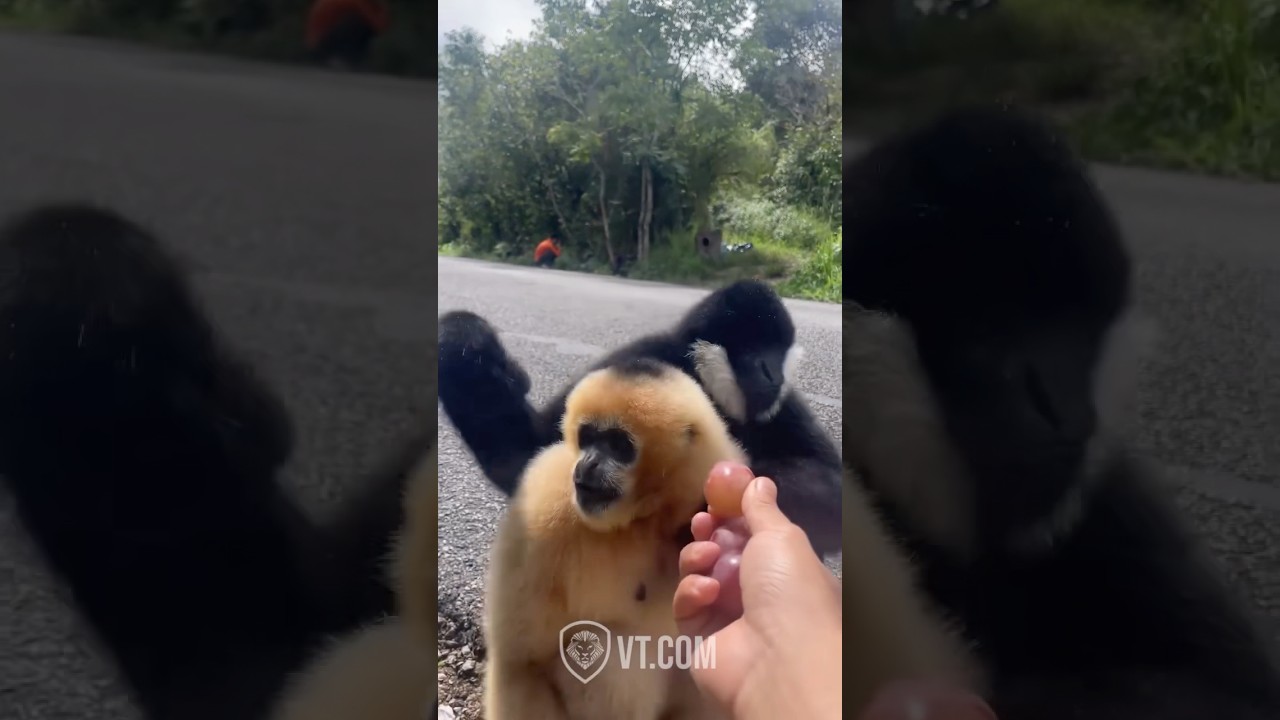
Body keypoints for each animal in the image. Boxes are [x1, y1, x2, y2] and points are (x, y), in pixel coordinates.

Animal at [438, 279, 843, 557]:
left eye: (777, 351)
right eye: (754, 353)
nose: (772, 371)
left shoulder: (784, 400)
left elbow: (832, 491)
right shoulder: (642, 356)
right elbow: (522, 457)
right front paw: (464, 339)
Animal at [481, 357, 976, 718]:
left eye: (618, 445)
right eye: (586, 438)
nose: (586, 466)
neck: (648, 518)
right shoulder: (545, 507)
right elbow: (522, 663)